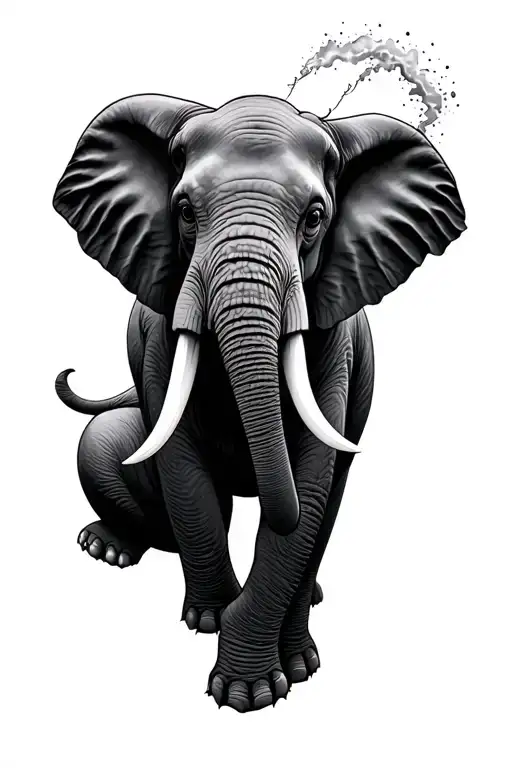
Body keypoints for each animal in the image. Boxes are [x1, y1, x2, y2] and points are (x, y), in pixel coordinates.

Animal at [53, 93, 466, 713]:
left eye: (315, 218)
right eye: (184, 212)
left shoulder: (334, 346)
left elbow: (313, 479)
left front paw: (266, 681)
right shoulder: (159, 340)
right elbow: (184, 465)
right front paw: (208, 620)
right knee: (101, 442)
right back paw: (107, 549)